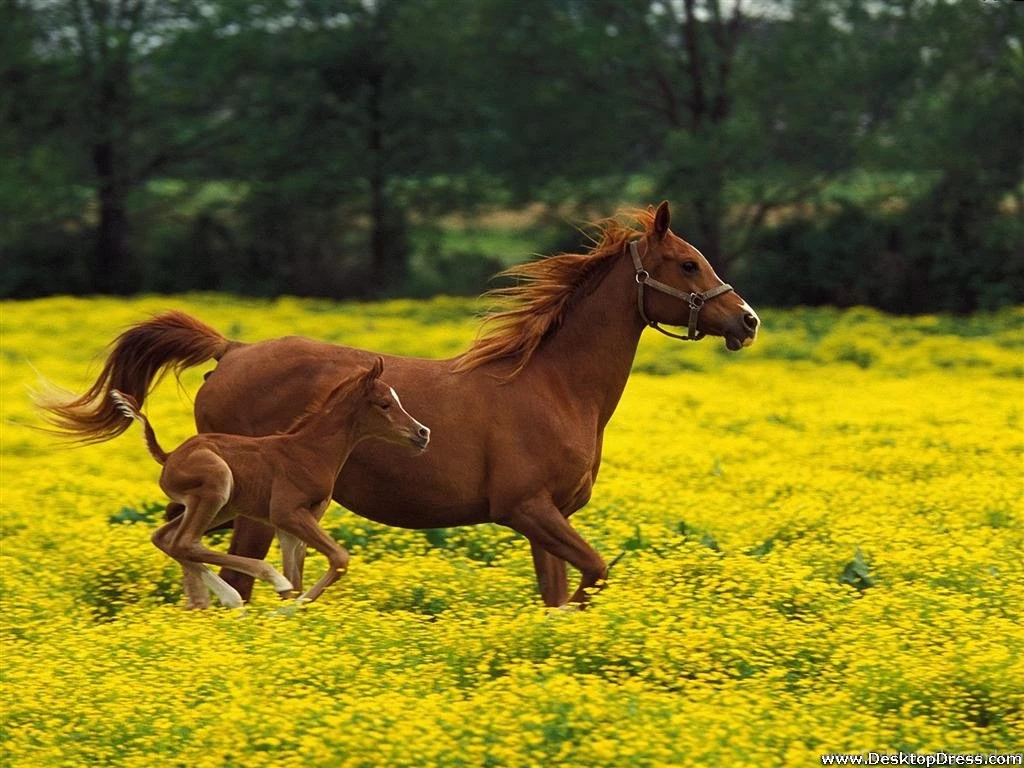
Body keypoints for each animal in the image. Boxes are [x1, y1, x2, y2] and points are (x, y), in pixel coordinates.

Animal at [109, 358, 430, 608]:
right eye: (385, 404)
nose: (422, 433)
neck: (311, 451)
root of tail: (169, 456)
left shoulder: (294, 523)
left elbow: (299, 577)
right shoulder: (285, 513)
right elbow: (338, 558)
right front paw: (288, 608)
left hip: (222, 507)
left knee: (167, 538)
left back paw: (225, 599)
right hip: (217, 484)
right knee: (185, 541)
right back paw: (260, 584)